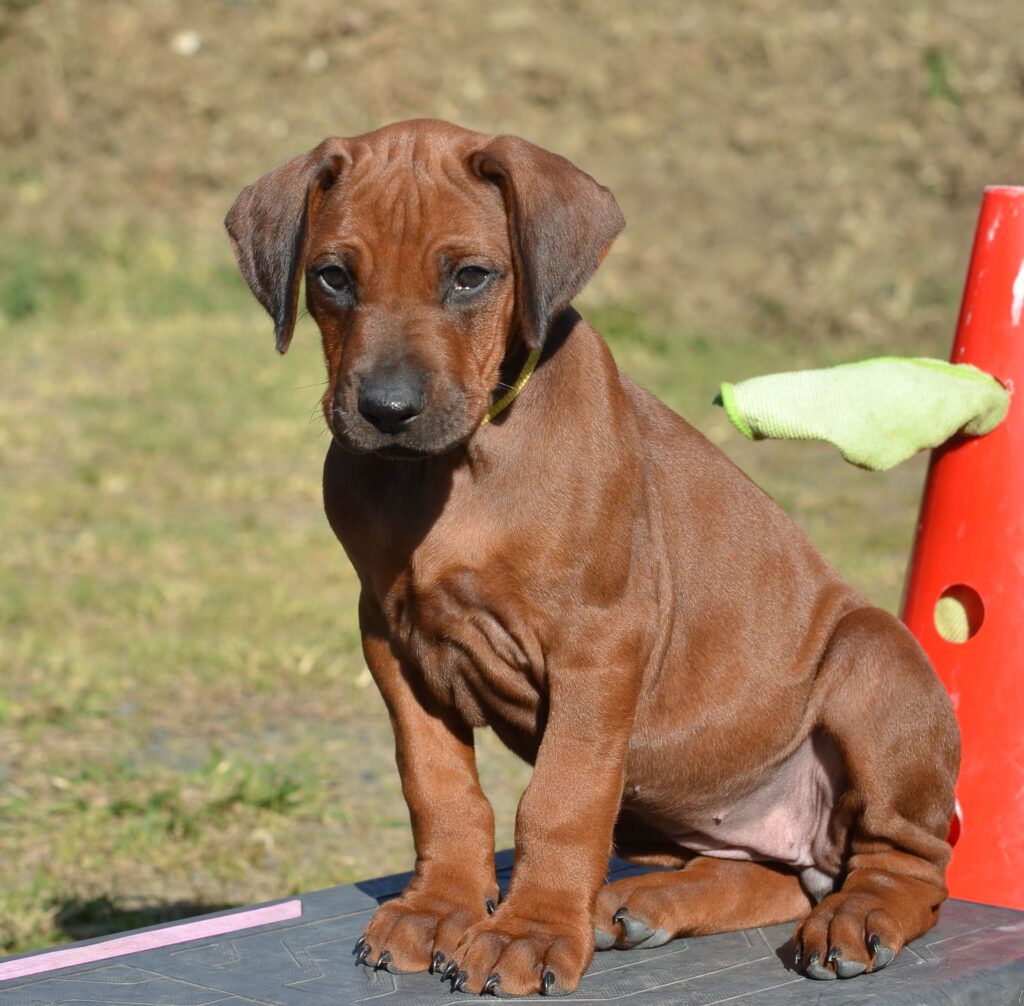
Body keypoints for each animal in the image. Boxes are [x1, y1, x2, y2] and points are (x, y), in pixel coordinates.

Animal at [224, 119, 958, 999]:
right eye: (332, 277)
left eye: (471, 277)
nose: (387, 410)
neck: (452, 472)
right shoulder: (394, 641)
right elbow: (439, 787)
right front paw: (438, 909)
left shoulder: (598, 646)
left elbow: (560, 800)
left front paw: (529, 932)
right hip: (674, 812)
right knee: (775, 875)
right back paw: (641, 905)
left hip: (874, 664)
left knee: (907, 862)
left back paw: (859, 915)